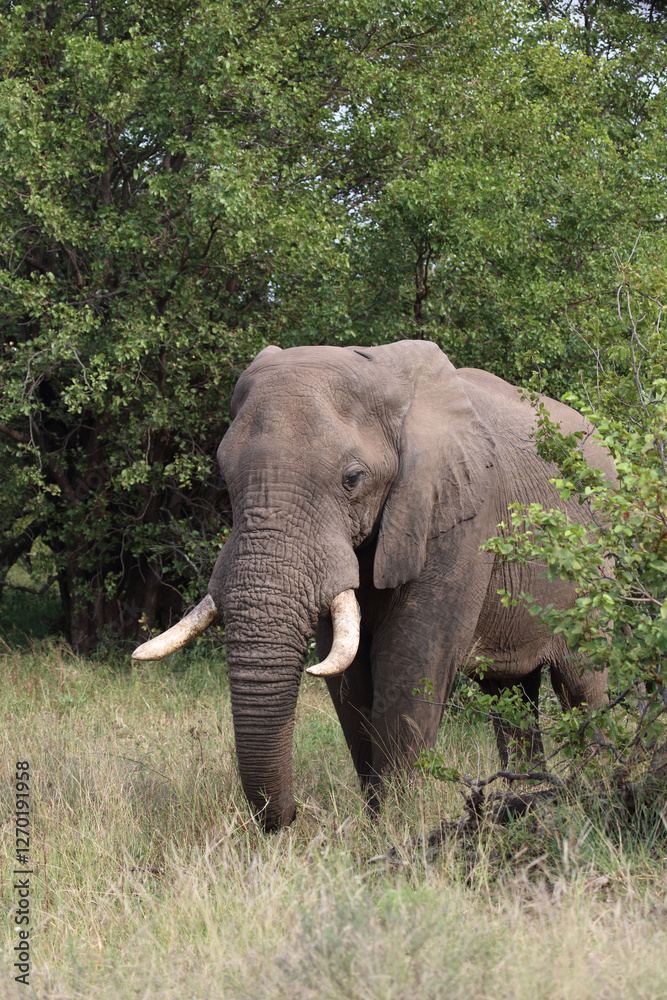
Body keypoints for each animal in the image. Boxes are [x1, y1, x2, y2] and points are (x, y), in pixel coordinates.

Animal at [133, 340, 615, 830]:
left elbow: (408, 662)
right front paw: (376, 824)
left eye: (353, 479)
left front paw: (395, 829)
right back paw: (526, 803)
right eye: (225, 477)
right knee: (509, 696)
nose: (295, 816)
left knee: (582, 687)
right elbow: (349, 676)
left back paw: (590, 793)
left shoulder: (460, 515)